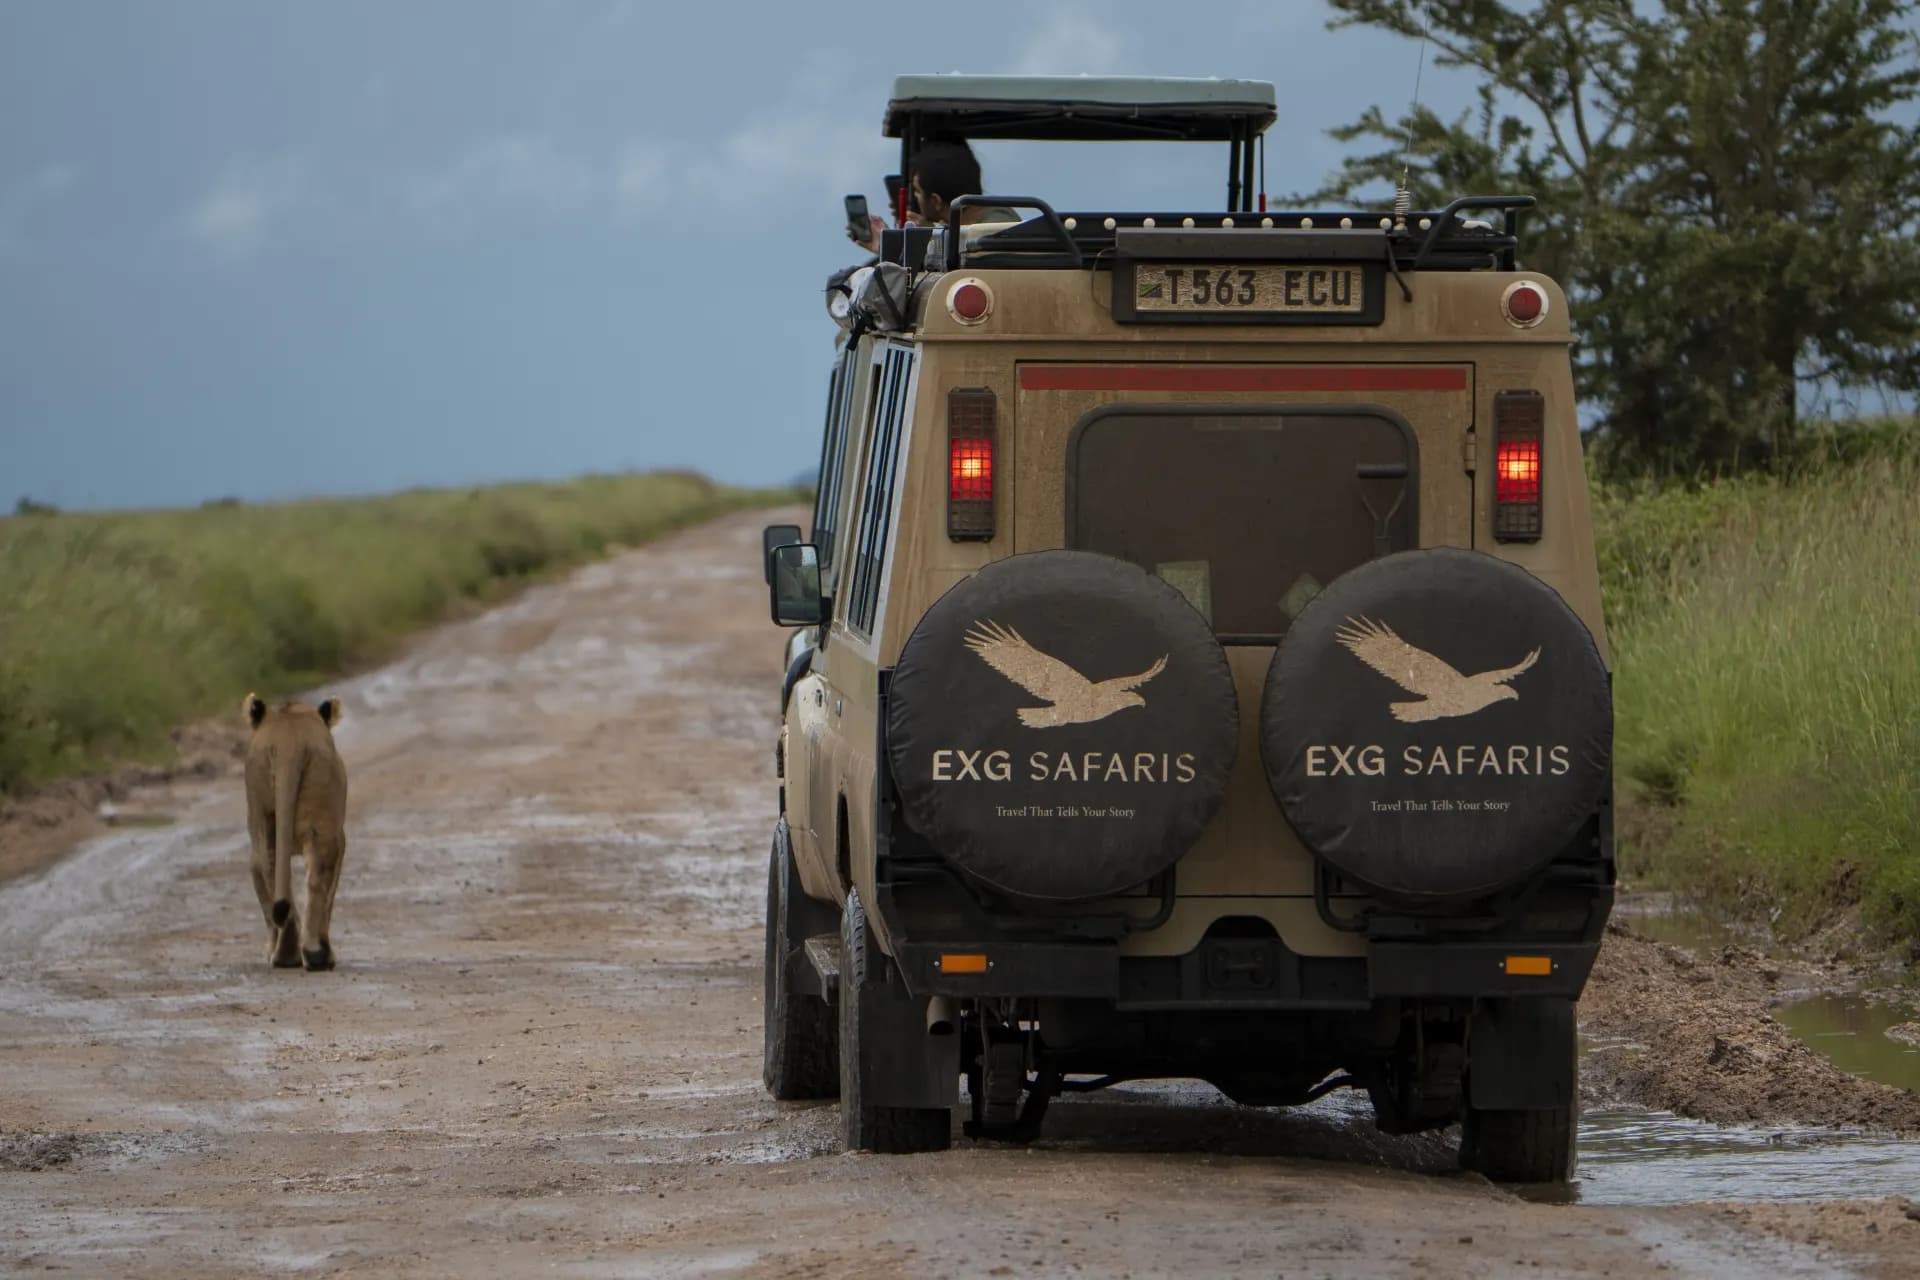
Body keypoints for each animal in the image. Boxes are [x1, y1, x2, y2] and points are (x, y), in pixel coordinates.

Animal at [243, 693, 349, 971]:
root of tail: (288, 744)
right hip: (322, 823)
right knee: (316, 879)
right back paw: (316, 955)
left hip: (265, 820)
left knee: (273, 874)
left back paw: (286, 956)